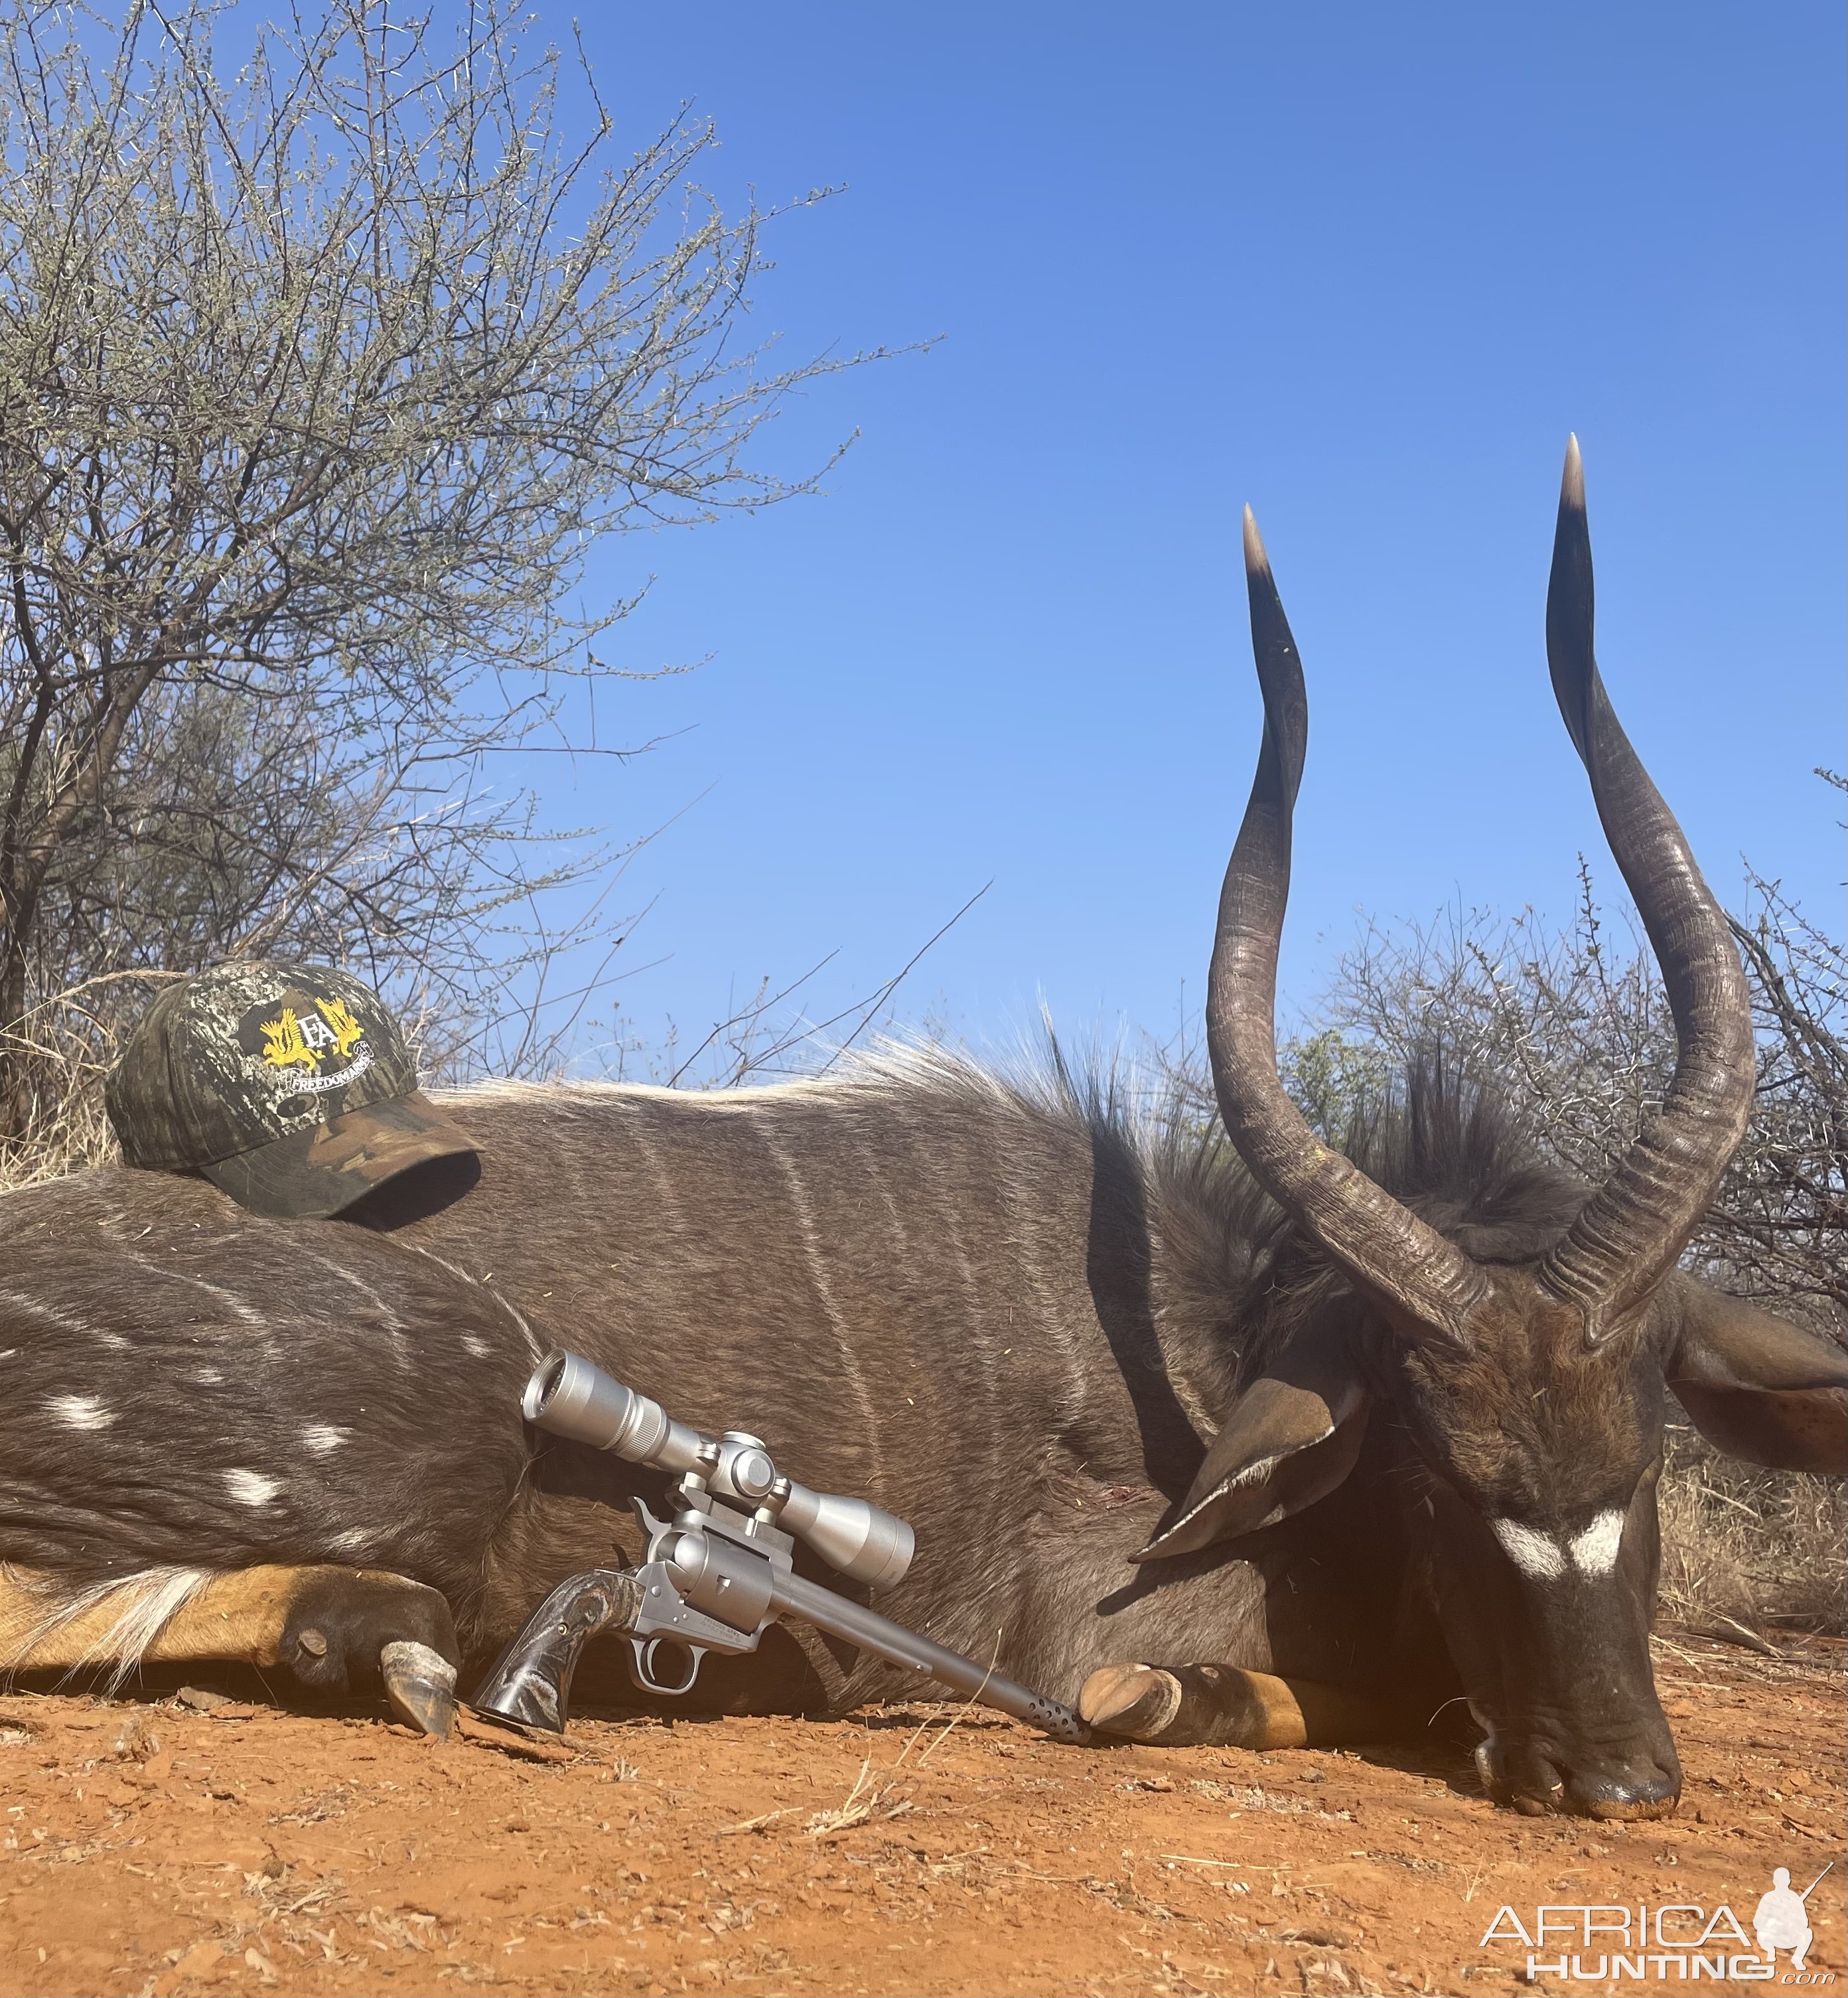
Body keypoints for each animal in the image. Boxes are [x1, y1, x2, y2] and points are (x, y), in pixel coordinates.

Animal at [0, 445, 1837, 1822]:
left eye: (1647, 1447)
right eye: (1440, 1472)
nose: (1619, 1779)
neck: (1200, 1336)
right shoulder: (1090, 1620)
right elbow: (1188, 1691)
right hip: (452, 1391)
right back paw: (390, 1643)